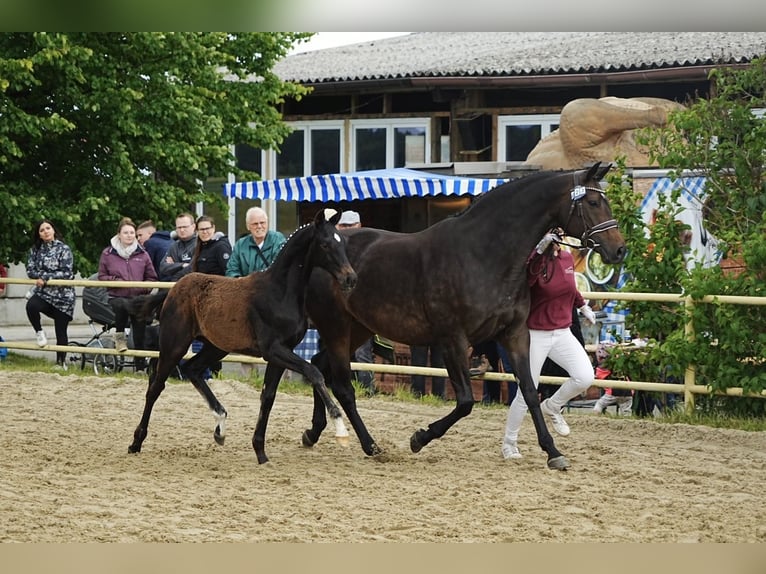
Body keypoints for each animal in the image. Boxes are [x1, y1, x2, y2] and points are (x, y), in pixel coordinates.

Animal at [127, 209, 358, 463]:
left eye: (342, 243)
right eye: (325, 244)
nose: (350, 278)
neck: (280, 291)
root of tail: (172, 291)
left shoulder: (281, 353)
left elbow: (268, 397)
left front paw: (260, 452)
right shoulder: (273, 349)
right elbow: (314, 372)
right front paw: (341, 429)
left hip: (216, 347)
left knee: (192, 369)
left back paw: (220, 427)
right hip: (174, 344)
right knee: (156, 386)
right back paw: (136, 442)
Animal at [300, 162, 626, 470]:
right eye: (593, 202)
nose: (619, 250)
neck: (483, 254)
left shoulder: (515, 334)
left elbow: (530, 393)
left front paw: (553, 452)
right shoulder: (453, 339)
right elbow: (467, 401)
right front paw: (420, 437)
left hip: (357, 329)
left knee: (319, 365)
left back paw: (314, 432)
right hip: (336, 327)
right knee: (341, 385)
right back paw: (368, 445)